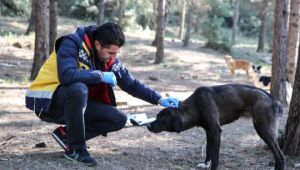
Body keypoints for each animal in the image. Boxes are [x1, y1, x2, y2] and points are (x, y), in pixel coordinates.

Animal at [148, 83, 286, 170]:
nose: (148, 125)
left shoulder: (215, 131)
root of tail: (276, 101)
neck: (195, 105)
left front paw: (212, 167)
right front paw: (205, 165)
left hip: (264, 130)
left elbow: (215, 156)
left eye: (161, 118)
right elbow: (209, 151)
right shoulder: (209, 132)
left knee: (280, 156)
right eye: (157, 116)